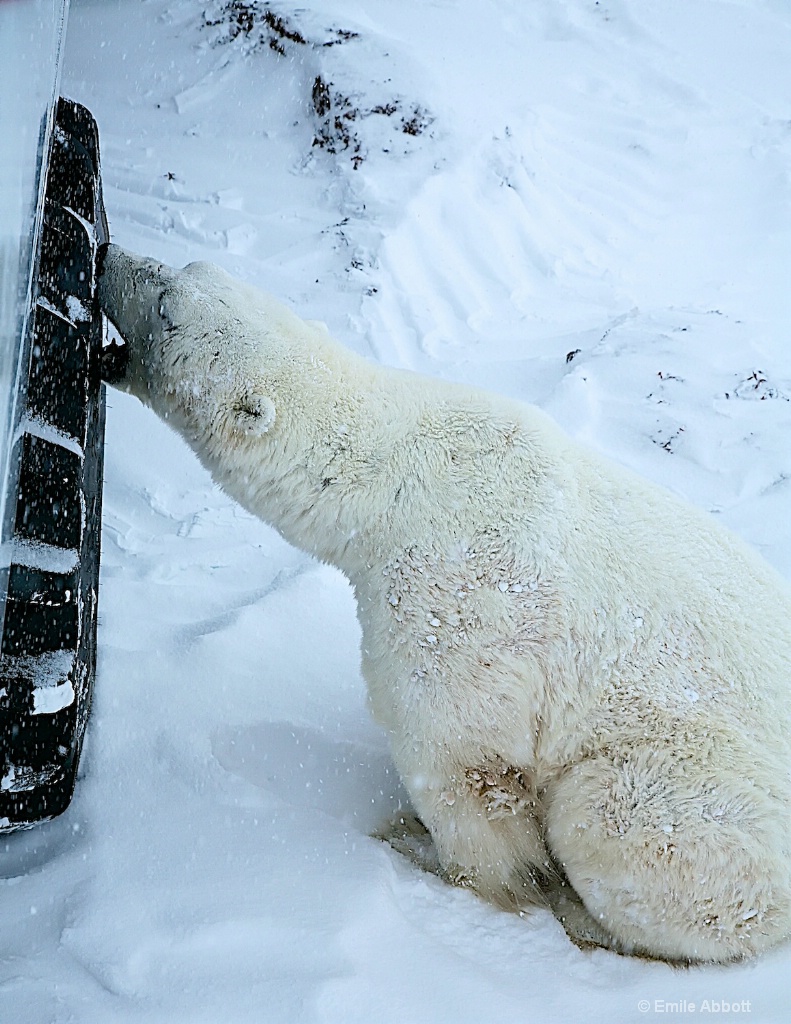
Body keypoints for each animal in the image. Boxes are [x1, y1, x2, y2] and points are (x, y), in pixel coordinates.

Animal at [97, 243, 790, 962]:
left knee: (615, 819)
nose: (107, 255)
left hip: (693, 787)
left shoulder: (453, 606)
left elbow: (461, 766)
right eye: (181, 274)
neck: (391, 477)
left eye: (166, 308)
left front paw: (424, 851)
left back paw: (587, 915)